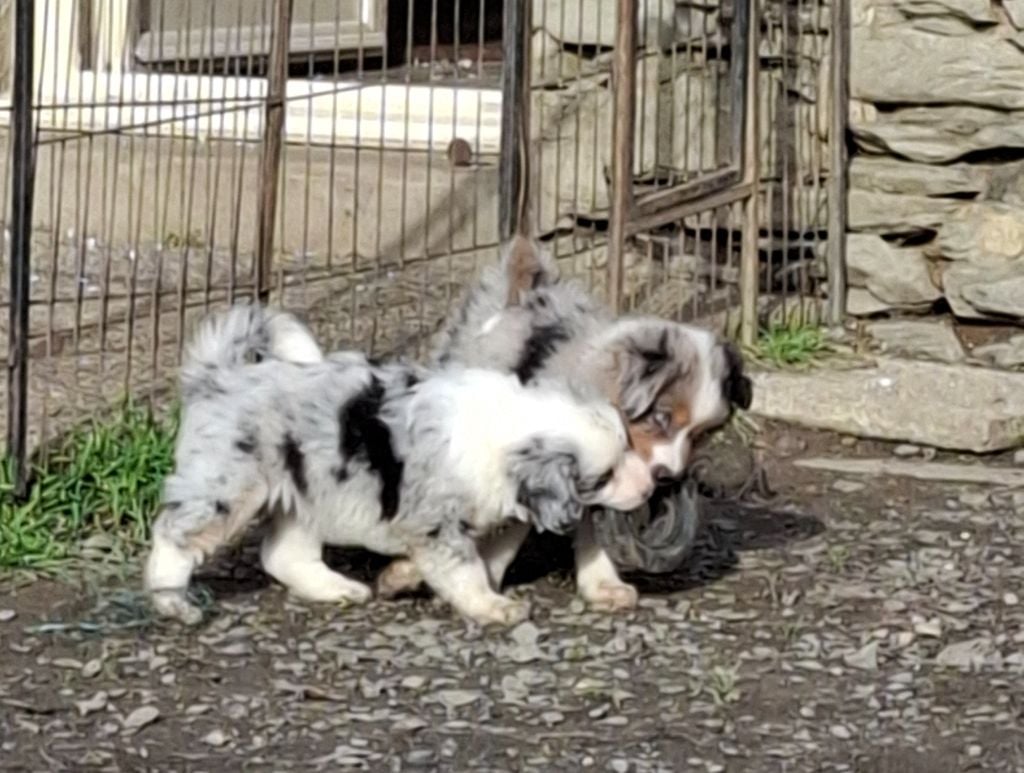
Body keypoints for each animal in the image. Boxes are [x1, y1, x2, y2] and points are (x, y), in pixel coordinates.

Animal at [143, 305, 647, 626]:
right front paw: (492, 608)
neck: (508, 426)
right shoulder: (436, 525)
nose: (648, 489)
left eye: (628, 447)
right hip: (227, 487)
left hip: (311, 491)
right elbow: (465, 568)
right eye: (603, 477)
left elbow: (485, 558)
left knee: (282, 553)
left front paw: (404, 578)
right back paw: (171, 602)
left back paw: (340, 589)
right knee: (174, 536)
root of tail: (219, 375)